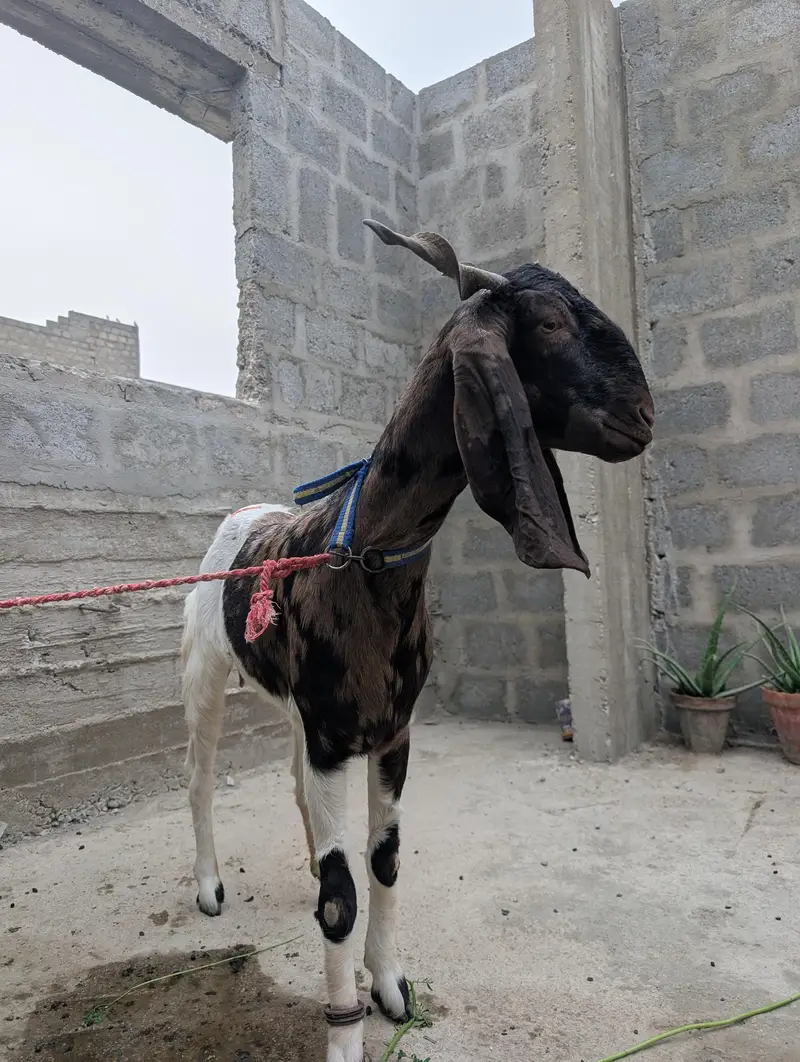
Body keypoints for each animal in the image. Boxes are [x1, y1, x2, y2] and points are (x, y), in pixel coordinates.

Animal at [180, 220, 654, 1062]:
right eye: (550, 322)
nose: (646, 414)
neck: (363, 556)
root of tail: (245, 518)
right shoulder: (335, 737)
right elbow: (341, 898)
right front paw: (344, 1034)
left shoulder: (390, 730)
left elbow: (383, 860)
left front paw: (390, 988)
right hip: (206, 672)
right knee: (201, 779)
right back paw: (208, 887)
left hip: (298, 710)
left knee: (295, 791)